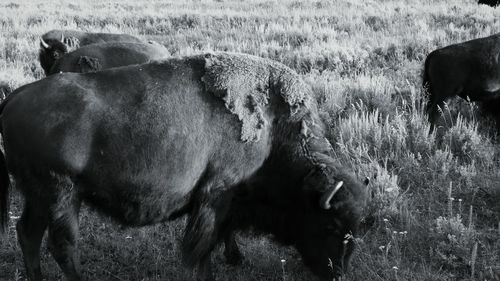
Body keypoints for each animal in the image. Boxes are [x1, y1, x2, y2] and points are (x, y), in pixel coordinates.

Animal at [0, 52, 368, 280]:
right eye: (331, 226)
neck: (275, 126)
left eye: (357, 228)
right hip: (61, 194)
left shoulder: (223, 204)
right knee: (61, 245)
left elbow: (220, 237)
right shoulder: (215, 197)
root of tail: (13, 98)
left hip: (40, 197)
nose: (338, 273)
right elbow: (201, 246)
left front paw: (235, 257)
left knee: (28, 234)